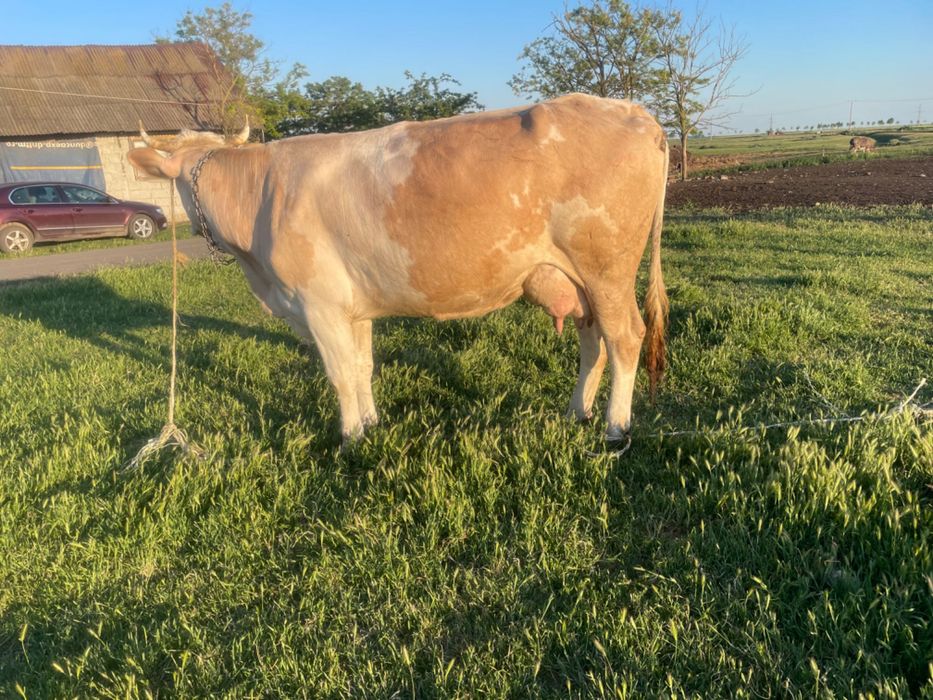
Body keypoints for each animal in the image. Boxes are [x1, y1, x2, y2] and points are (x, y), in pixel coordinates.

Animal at [128, 93, 669, 445]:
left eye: (179, 183)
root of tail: (635, 112)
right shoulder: (352, 307)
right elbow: (362, 367)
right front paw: (370, 425)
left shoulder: (319, 303)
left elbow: (340, 373)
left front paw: (350, 440)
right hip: (577, 279)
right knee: (592, 341)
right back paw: (578, 412)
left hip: (607, 269)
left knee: (625, 337)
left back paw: (615, 427)